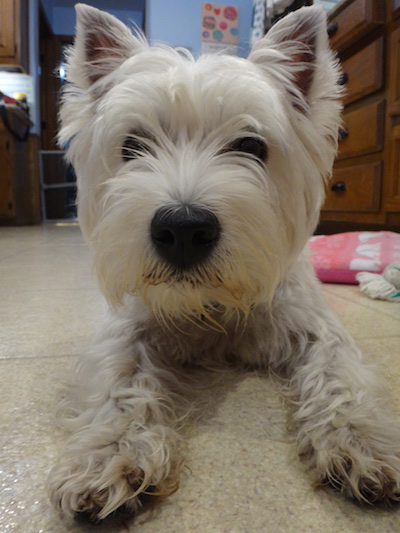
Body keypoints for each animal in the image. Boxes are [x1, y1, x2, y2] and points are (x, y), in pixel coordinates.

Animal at [47, 3, 400, 521]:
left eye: (251, 146)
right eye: (133, 146)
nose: (183, 229)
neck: (211, 304)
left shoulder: (317, 328)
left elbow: (340, 375)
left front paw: (363, 440)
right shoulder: (126, 332)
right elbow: (119, 383)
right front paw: (108, 453)